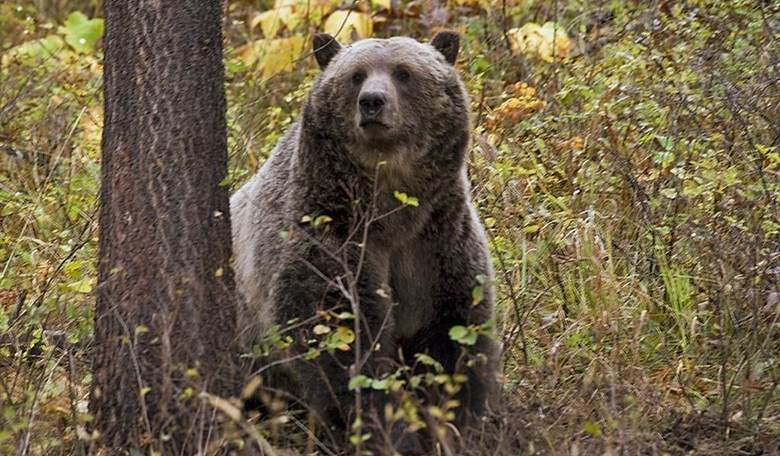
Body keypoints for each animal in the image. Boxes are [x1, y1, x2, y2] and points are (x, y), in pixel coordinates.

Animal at [230, 31, 500, 452]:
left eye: (404, 72)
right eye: (356, 75)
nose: (372, 101)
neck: (391, 209)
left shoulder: (436, 244)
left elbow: (454, 336)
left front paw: (454, 425)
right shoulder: (330, 236)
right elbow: (341, 341)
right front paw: (388, 432)